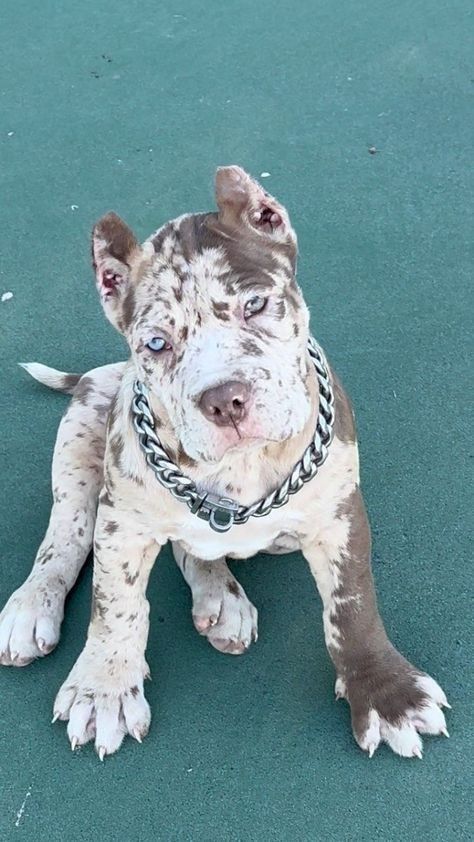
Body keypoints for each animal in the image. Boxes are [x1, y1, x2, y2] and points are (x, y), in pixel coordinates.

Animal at [0, 167, 450, 756]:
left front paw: (386, 692)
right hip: (81, 438)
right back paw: (34, 605)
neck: (241, 468)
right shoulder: (122, 525)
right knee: (66, 537)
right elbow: (114, 604)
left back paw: (221, 598)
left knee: (194, 547)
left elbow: (351, 606)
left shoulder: (338, 516)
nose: (225, 399)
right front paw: (103, 688)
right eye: (156, 343)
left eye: (255, 306)